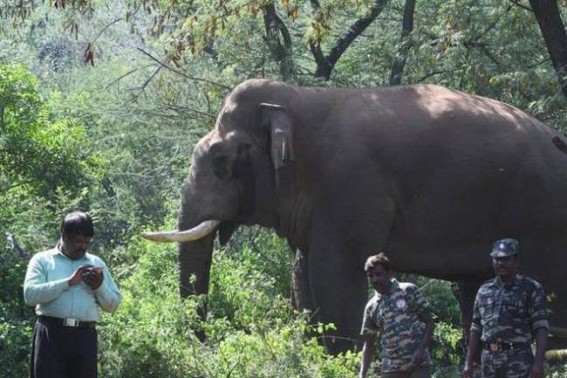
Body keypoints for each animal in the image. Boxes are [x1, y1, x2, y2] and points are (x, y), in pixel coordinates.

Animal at [142, 79, 567, 354]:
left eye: (221, 160)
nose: (204, 343)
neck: (300, 100)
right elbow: (307, 275)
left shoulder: (349, 186)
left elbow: (335, 274)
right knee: (473, 290)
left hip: (541, 214)